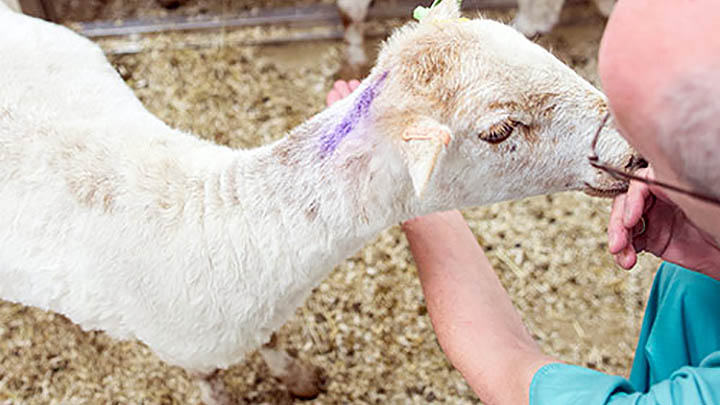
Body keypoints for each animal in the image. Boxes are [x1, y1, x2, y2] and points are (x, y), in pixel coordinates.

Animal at [0, 1, 640, 402]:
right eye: (500, 131)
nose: (634, 155)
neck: (223, 222)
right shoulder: (192, 352)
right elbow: (213, 384)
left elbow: (274, 344)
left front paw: (298, 377)